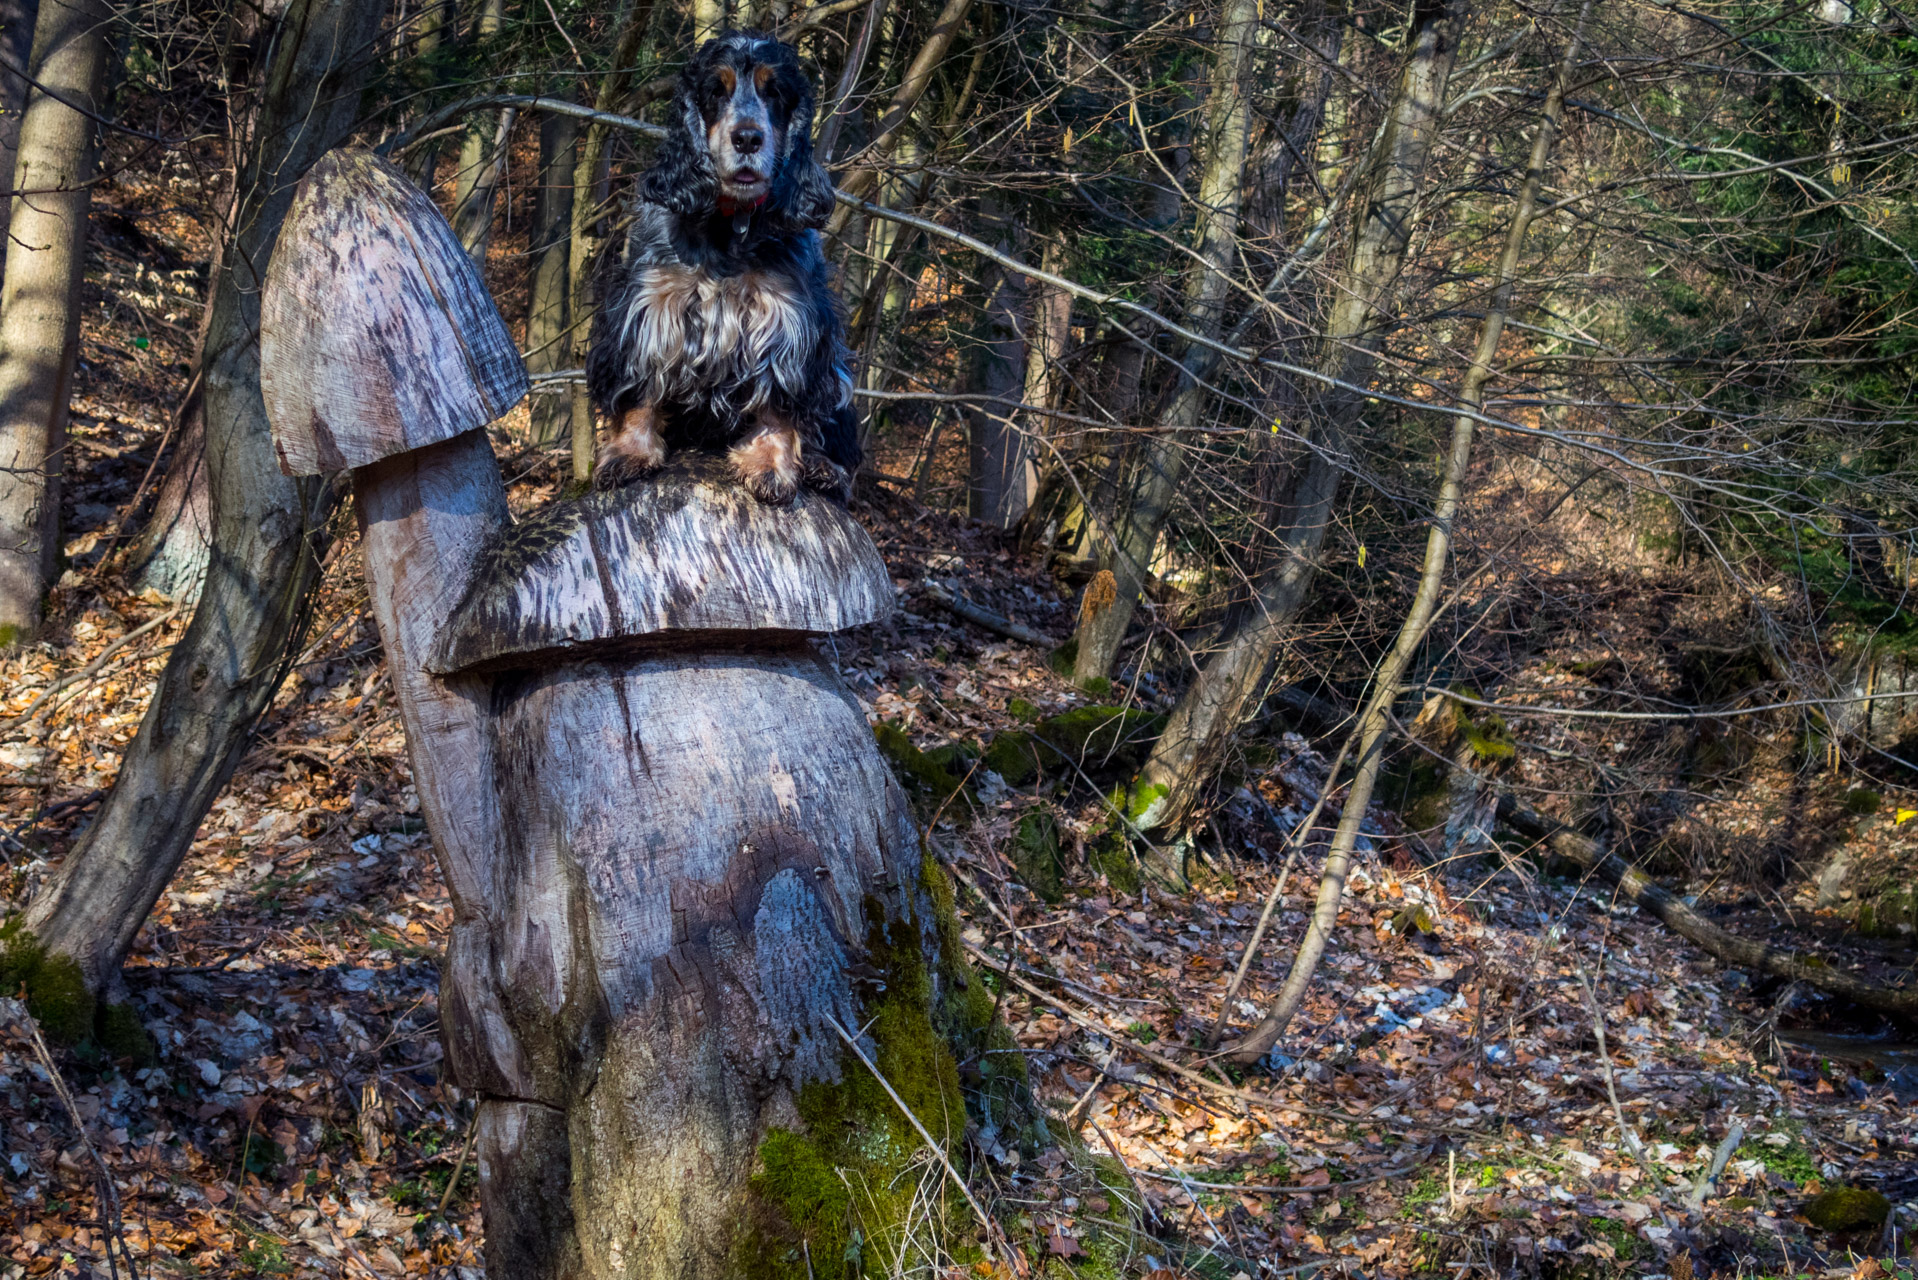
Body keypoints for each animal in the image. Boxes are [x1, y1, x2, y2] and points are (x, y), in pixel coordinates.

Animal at [579, 29, 859, 498]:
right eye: (716, 90)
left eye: (774, 92)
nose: (747, 138)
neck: (730, 226)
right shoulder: (649, 305)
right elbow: (640, 388)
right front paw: (630, 452)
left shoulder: (790, 320)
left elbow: (780, 404)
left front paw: (769, 464)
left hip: (834, 370)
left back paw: (823, 467)